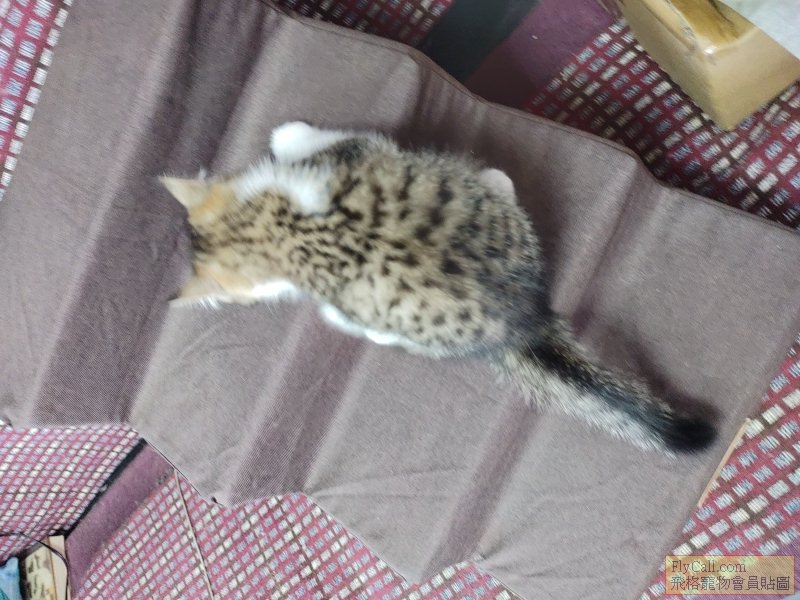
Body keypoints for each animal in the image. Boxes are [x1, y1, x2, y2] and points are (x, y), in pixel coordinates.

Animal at [160, 121, 715, 453]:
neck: (273, 229)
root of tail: (526, 318)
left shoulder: (353, 151)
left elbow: (323, 137)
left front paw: (284, 136)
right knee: (497, 185)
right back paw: (489, 175)